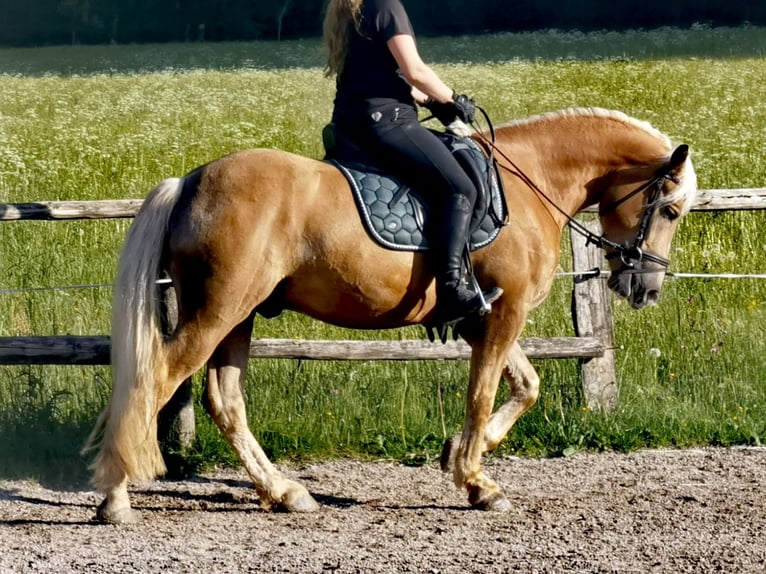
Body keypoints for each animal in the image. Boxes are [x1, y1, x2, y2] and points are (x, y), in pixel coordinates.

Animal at [84, 107, 697, 522]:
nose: (646, 289)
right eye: (669, 210)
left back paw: (285, 492)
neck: (530, 184)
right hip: (218, 310)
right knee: (156, 381)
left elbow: (526, 385)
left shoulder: (484, 314)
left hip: (240, 315)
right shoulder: (507, 311)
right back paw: (115, 498)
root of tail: (189, 181)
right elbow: (484, 390)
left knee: (224, 400)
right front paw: (477, 481)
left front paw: (460, 455)